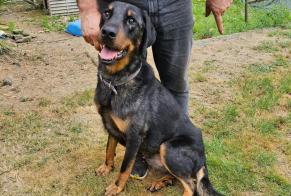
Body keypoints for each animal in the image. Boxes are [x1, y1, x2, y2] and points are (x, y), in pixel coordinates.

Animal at [95, 1, 221, 196]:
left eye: (131, 20)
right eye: (107, 13)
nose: (107, 32)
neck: (115, 81)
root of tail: (203, 160)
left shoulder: (134, 136)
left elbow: (125, 167)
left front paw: (116, 187)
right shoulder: (111, 126)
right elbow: (109, 149)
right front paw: (106, 167)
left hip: (168, 147)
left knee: (191, 185)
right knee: (179, 178)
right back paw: (161, 182)